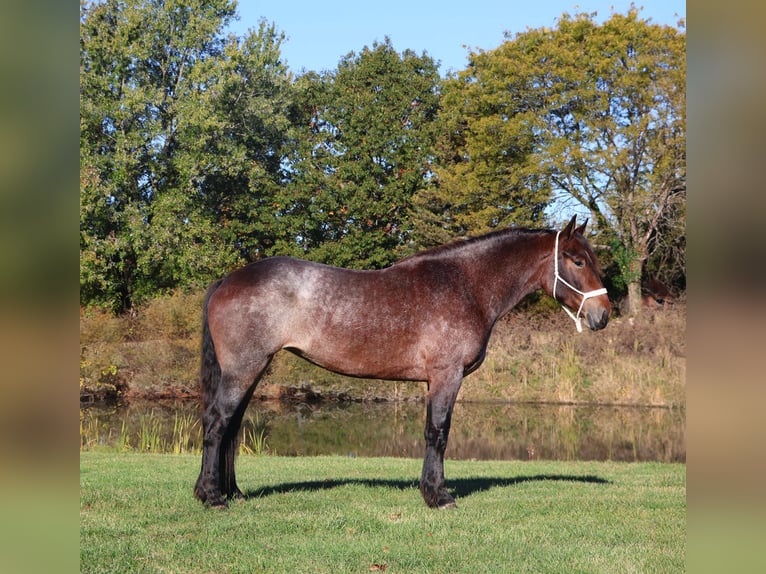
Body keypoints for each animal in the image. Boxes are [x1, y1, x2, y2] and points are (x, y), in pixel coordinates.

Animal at [193, 216, 611, 509]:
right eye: (577, 260)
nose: (603, 315)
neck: (467, 285)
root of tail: (228, 280)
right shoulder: (446, 377)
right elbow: (437, 433)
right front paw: (438, 496)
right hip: (243, 370)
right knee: (217, 423)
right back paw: (212, 497)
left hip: (250, 371)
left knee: (230, 427)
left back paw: (230, 492)